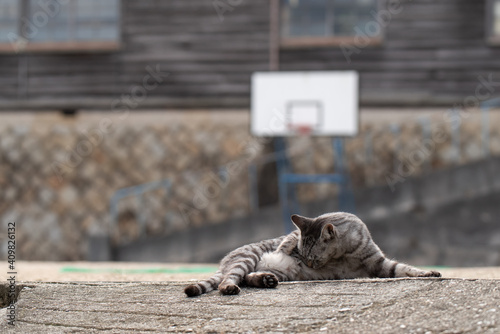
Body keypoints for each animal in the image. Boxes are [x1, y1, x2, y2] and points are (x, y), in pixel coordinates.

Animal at [183, 213, 438, 296]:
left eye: (312, 259)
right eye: (302, 256)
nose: (307, 264)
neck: (344, 254)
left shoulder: (380, 265)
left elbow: (405, 268)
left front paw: (429, 273)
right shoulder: (293, 236)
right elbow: (288, 239)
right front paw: (282, 248)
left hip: (280, 274)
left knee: (247, 278)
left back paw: (265, 280)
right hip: (247, 258)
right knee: (230, 279)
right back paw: (230, 287)